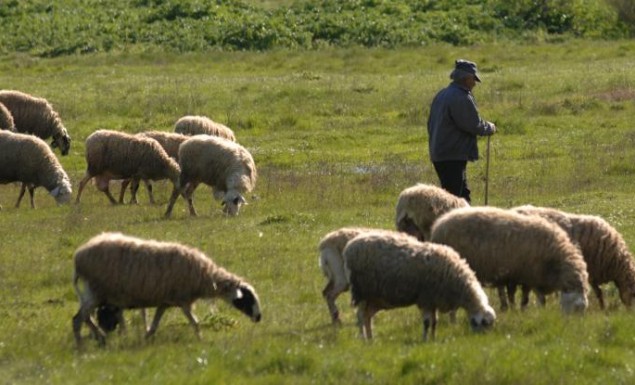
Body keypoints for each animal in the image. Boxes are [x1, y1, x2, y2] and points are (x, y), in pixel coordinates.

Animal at [73, 231, 262, 344]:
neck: (206, 276)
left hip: (96, 293)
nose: (259, 317)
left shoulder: (166, 301)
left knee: (84, 317)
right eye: (247, 298)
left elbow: (156, 323)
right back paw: (85, 343)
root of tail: (79, 255)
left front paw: (147, 337)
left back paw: (97, 338)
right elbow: (195, 322)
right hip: (96, 291)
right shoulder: (183, 300)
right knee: (79, 318)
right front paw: (201, 340)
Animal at [342, 228, 496, 340]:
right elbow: (427, 322)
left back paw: (371, 338)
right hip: (361, 291)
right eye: (485, 324)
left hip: (375, 298)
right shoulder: (425, 299)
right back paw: (364, 339)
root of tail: (349, 247)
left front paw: (433, 338)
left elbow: (435, 322)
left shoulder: (433, 300)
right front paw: (425, 339)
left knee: (367, 316)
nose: (482, 339)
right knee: (360, 316)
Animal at [430, 207, 588, 312]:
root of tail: (439, 225)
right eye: (578, 308)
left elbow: (530, 297)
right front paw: (519, 310)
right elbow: (522, 297)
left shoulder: (527, 276)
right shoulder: (524, 275)